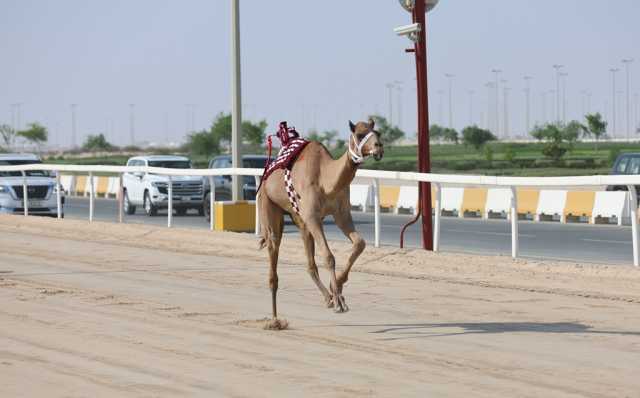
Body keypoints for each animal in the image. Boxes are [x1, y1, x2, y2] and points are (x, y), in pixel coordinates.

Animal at [258, 118, 382, 320]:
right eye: (359, 134)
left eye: (378, 133)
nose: (379, 147)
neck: (326, 180)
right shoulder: (312, 216)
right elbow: (329, 256)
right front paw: (339, 302)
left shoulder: (341, 214)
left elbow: (360, 243)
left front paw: (337, 287)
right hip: (268, 204)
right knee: (273, 248)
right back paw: (275, 318)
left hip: (300, 221)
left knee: (310, 264)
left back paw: (328, 298)